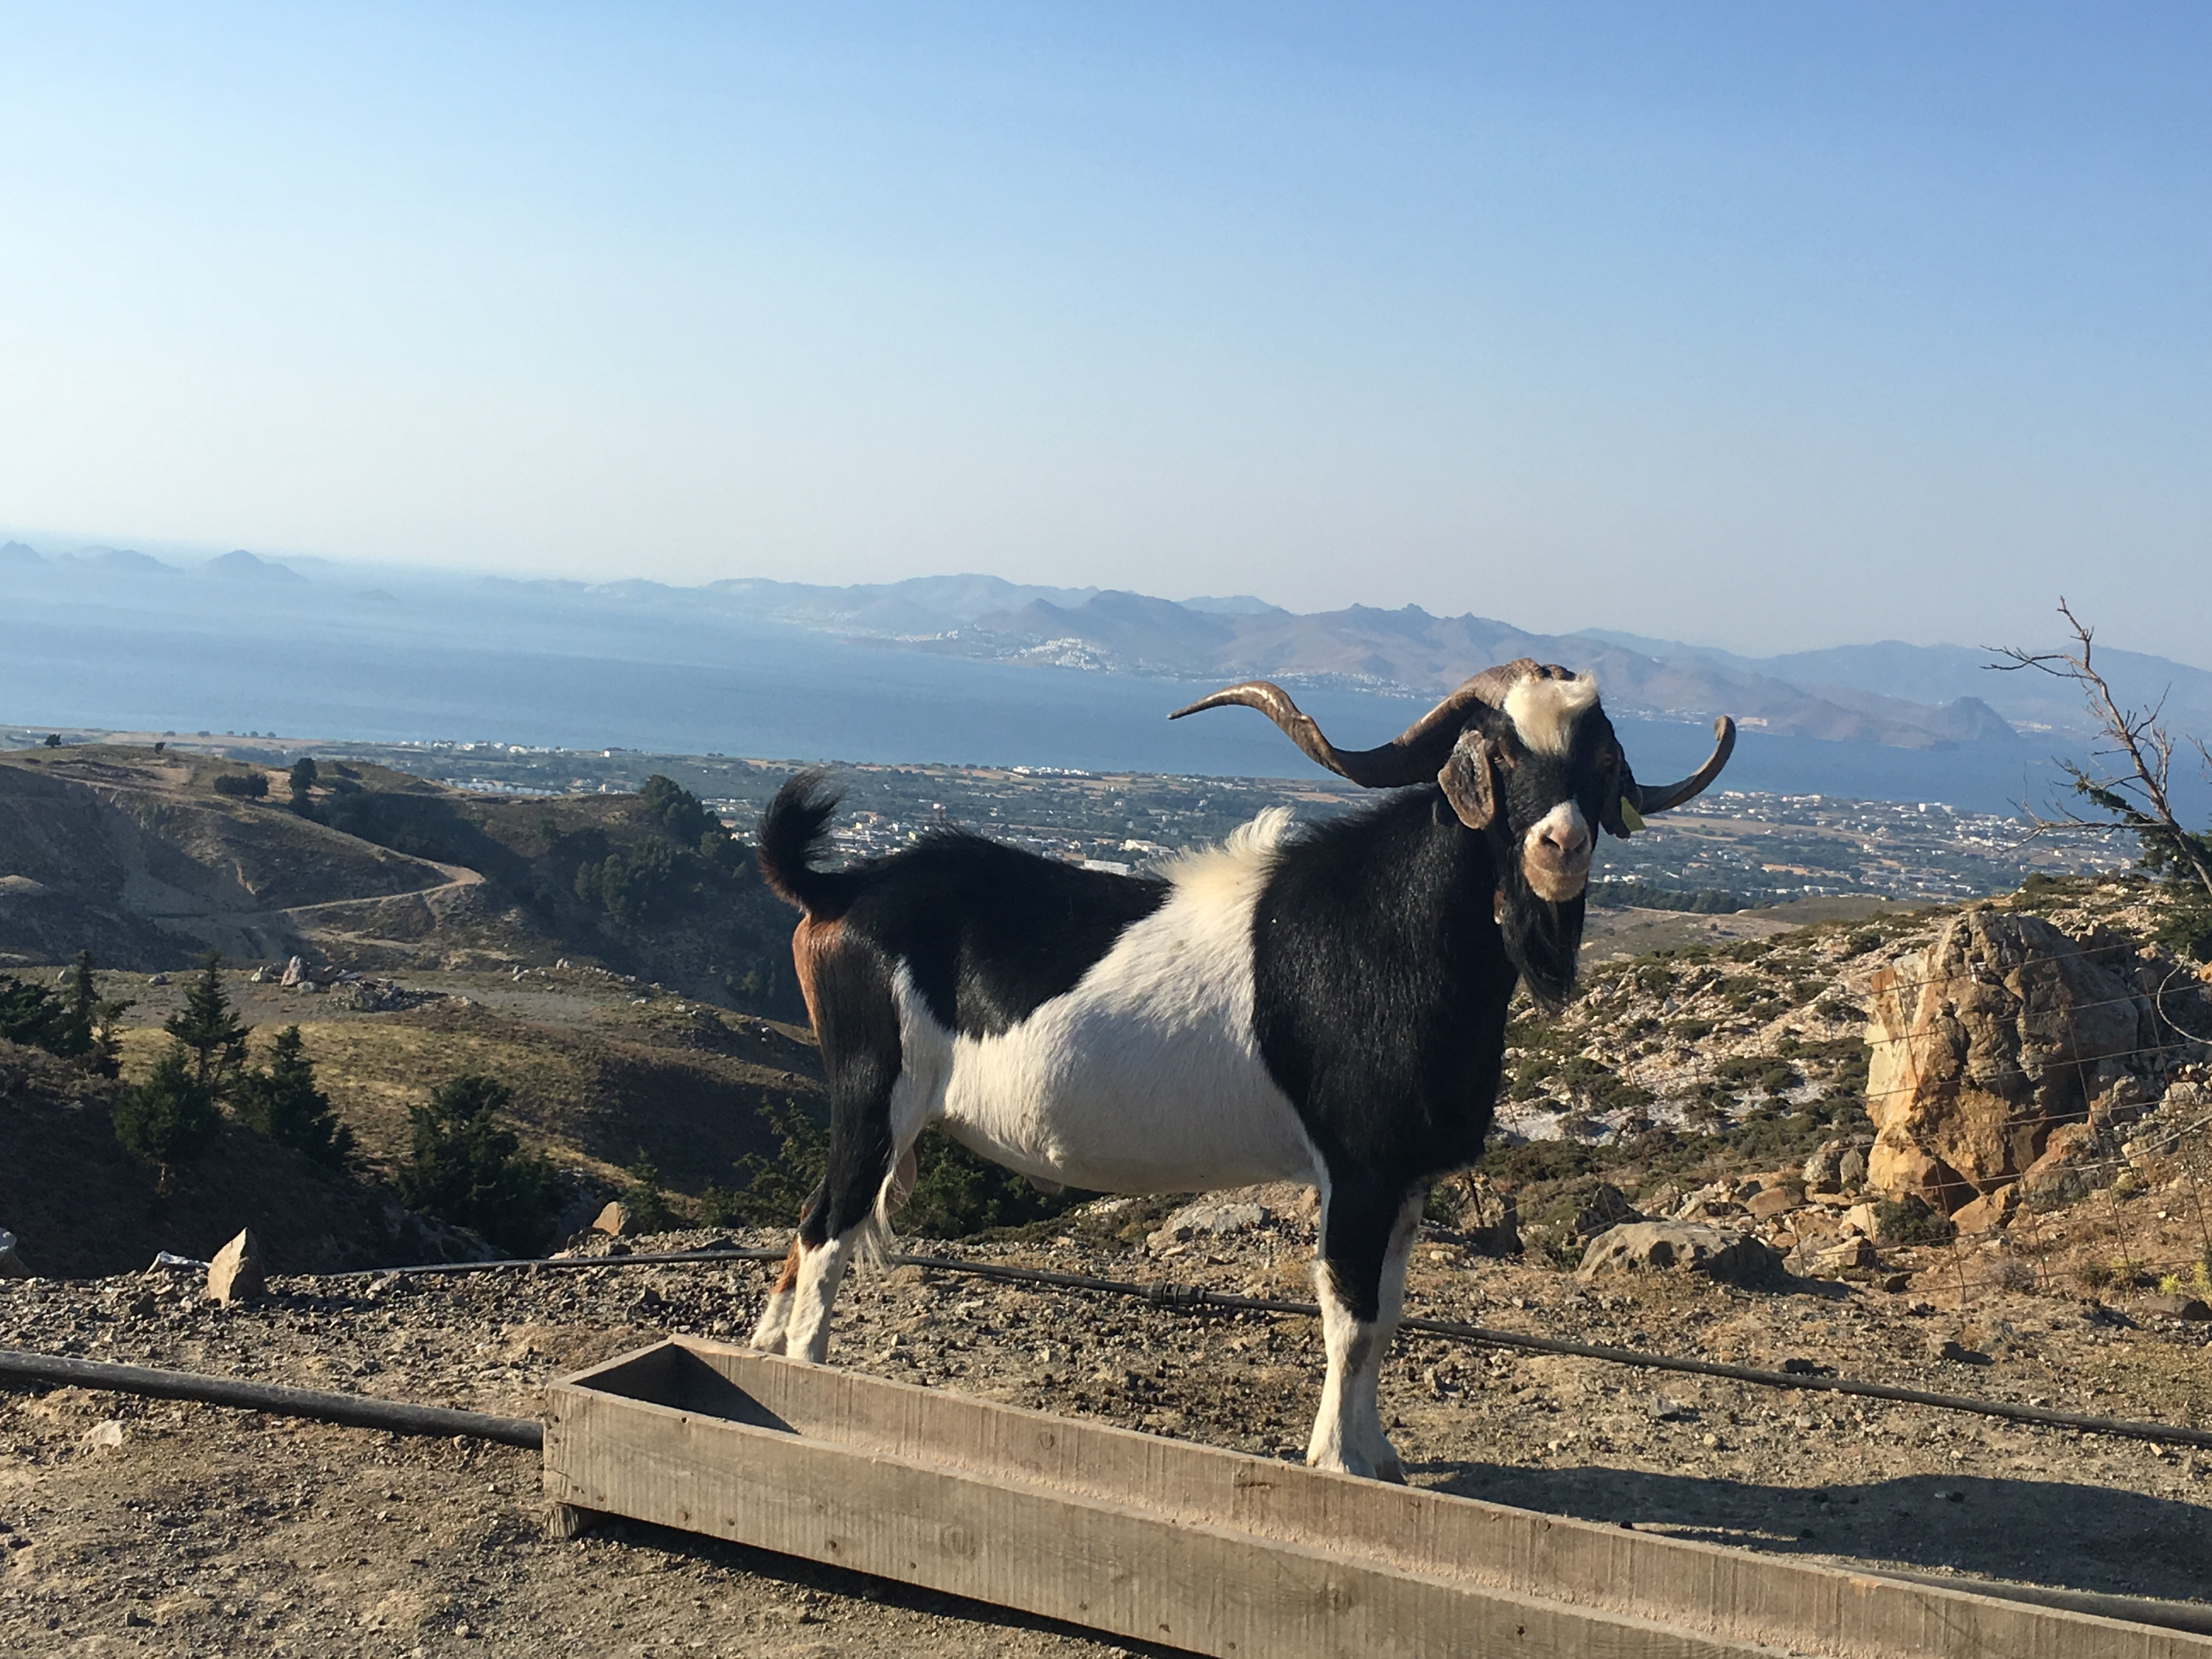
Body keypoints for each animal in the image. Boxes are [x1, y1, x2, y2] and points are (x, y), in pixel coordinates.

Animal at [752, 664, 1734, 1478]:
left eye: (1599, 758)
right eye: (1496, 751)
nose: (1559, 846)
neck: (1387, 925)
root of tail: (841, 889)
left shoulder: (1406, 1176)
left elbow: (1389, 1309)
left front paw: (1381, 1457)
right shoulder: (1356, 1168)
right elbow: (1350, 1314)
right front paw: (1338, 1463)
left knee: (807, 1227)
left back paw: (762, 1358)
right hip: (874, 1093)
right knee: (830, 1232)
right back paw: (807, 1375)